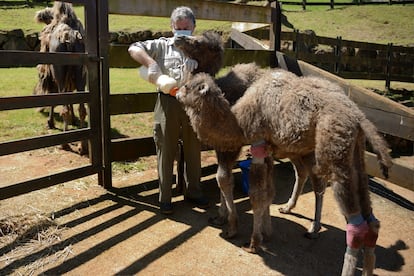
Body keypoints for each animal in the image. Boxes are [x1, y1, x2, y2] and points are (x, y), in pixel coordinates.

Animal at [34, 1, 88, 154]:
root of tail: (70, 37)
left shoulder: (51, 77)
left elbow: (53, 97)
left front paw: (50, 122)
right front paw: (74, 121)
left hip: (59, 72)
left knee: (63, 105)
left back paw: (65, 144)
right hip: (81, 72)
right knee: (82, 107)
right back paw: (82, 146)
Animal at [176, 68, 392, 274]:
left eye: (187, 86)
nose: (176, 92)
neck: (237, 120)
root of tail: (358, 117)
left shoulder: (257, 142)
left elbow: (256, 194)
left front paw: (252, 242)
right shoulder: (267, 148)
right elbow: (268, 192)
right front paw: (265, 232)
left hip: (333, 153)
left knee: (355, 225)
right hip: (354, 155)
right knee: (370, 220)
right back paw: (303, 220)